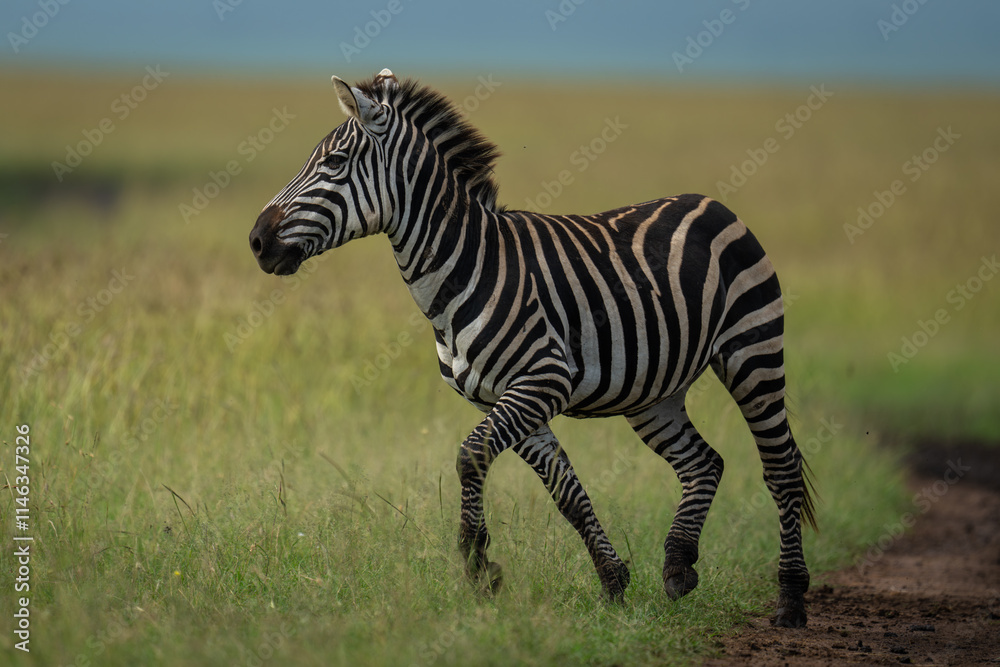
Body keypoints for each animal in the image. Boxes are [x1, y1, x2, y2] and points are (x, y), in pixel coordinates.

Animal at [248, 69, 817, 627]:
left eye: (334, 163)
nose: (256, 241)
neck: (464, 269)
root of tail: (712, 202)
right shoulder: (503, 397)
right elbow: (565, 492)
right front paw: (613, 583)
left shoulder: (543, 380)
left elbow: (470, 455)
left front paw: (478, 566)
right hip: (655, 390)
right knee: (705, 463)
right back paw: (678, 565)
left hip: (752, 350)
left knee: (781, 469)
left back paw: (790, 599)